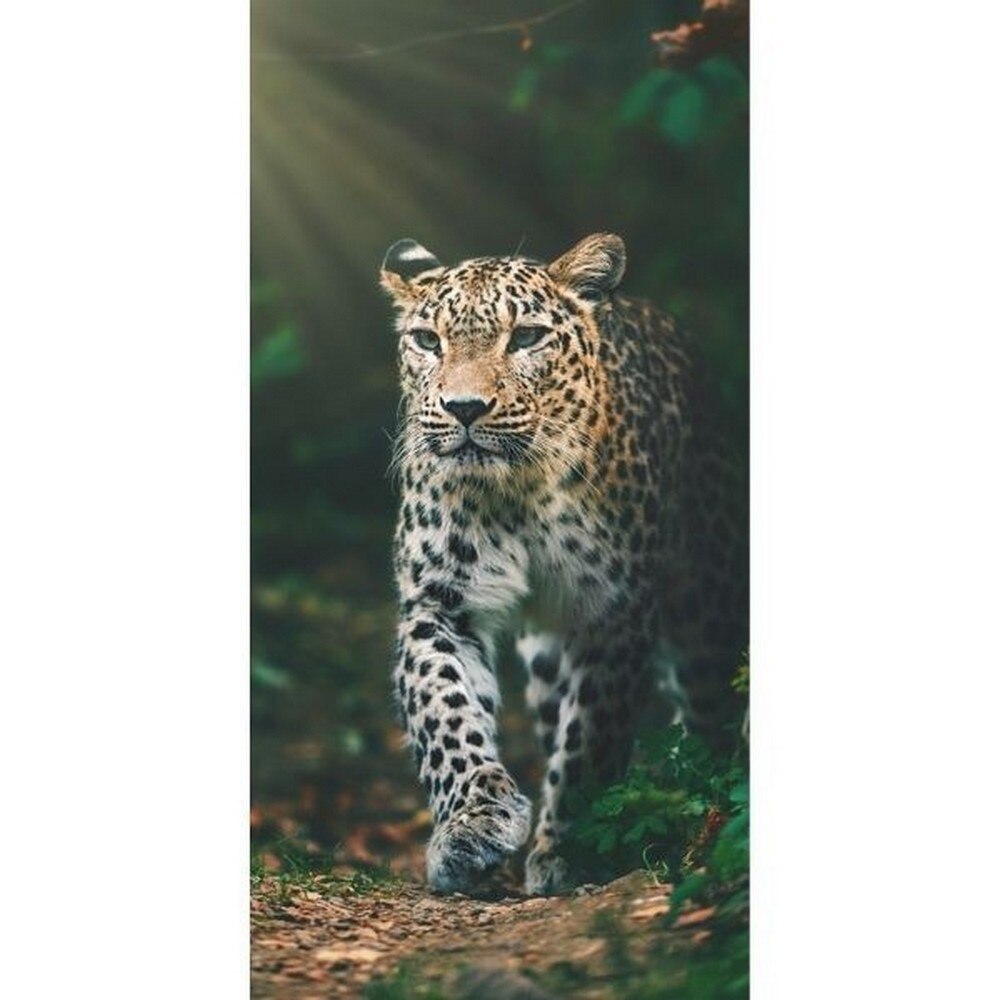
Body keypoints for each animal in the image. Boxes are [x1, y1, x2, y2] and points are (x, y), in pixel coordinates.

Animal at [379, 233, 747, 896]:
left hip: (708, 616)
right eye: (427, 340)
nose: (464, 408)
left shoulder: (614, 612)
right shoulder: (437, 603)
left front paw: (568, 851)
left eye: (526, 337)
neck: (516, 491)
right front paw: (473, 826)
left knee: (711, 715)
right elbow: (446, 712)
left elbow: (590, 742)